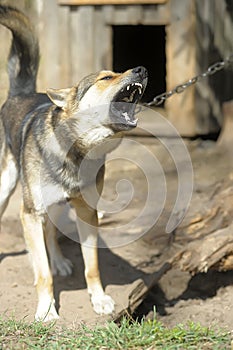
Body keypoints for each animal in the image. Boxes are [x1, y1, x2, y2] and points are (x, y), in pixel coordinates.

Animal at [0, 5, 147, 322]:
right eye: (105, 78)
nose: (142, 69)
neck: (78, 151)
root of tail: (21, 93)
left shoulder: (88, 212)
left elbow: (91, 266)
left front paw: (99, 299)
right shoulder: (31, 211)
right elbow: (44, 276)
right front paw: (46, 310)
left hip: (53, 204)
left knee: (51, 234)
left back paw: (57, 260)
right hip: (6, 189)